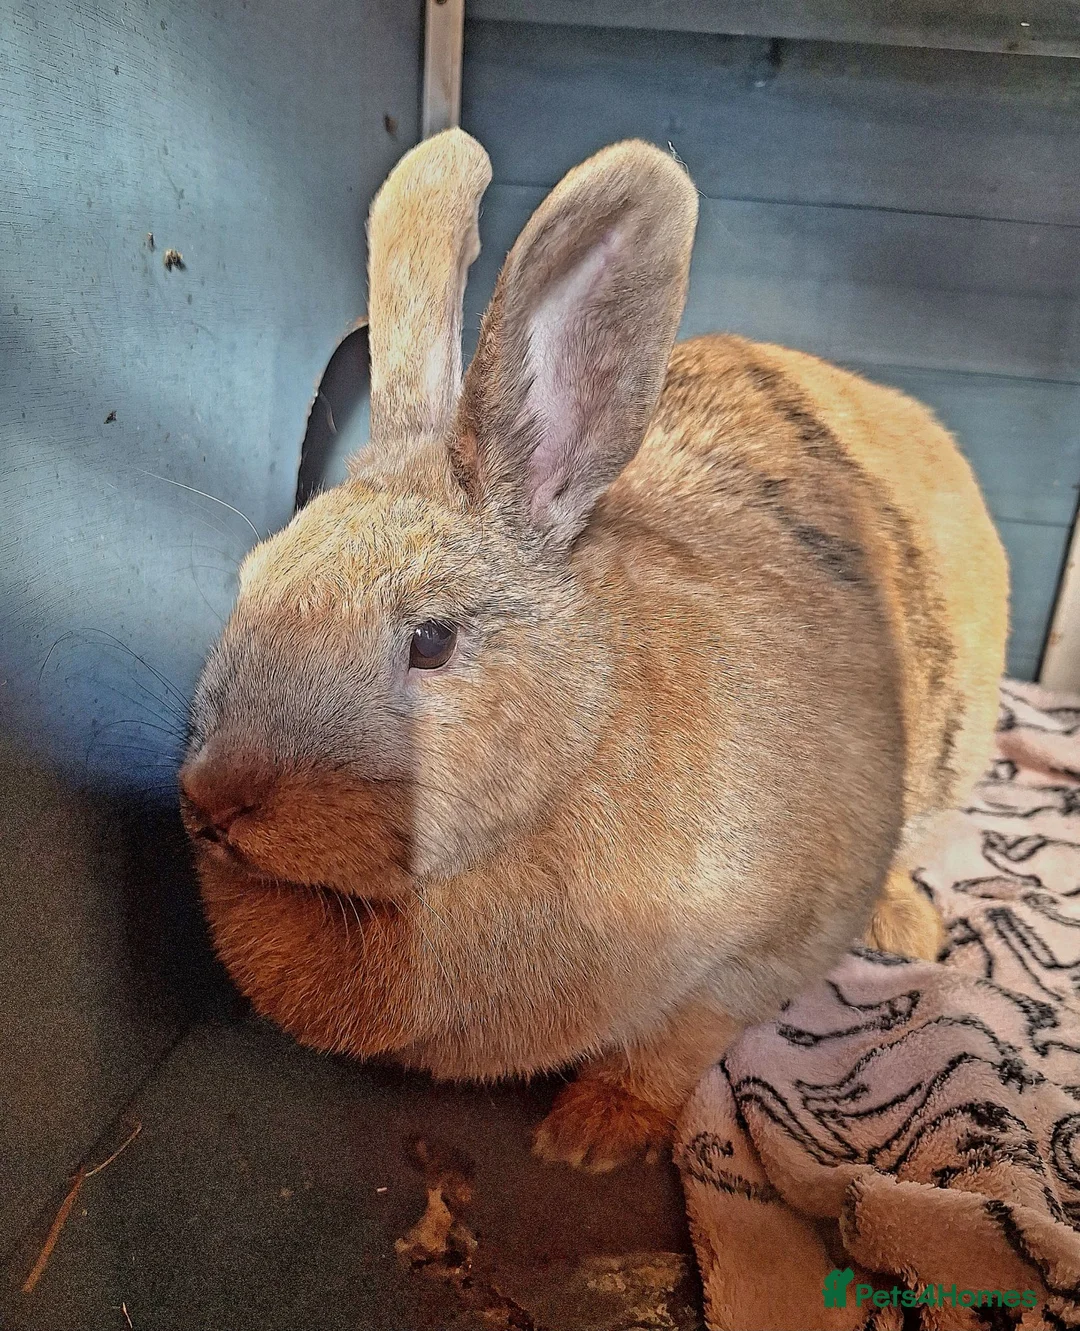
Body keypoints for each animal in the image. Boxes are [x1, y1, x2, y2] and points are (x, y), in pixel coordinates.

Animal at [179, 129, 1008, 1172]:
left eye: (431, 641)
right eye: (251, 578)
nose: (212, 801)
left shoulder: (778, 937)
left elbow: (684, 1036)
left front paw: (589, 1135)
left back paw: (910, 924)